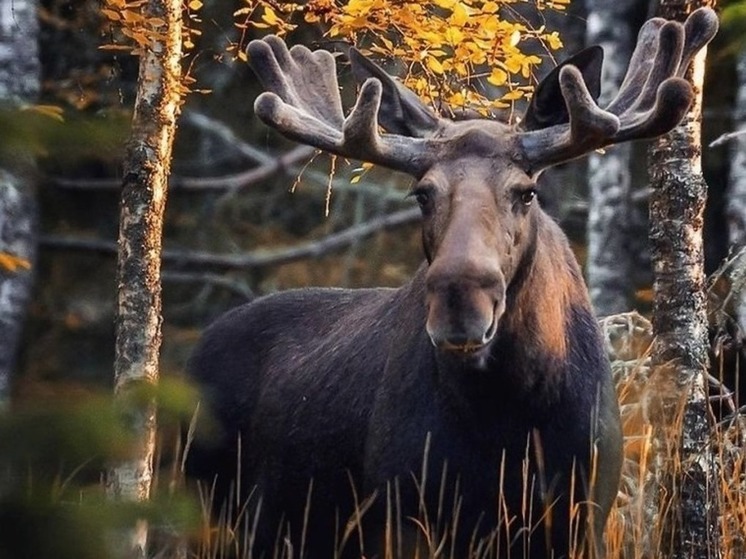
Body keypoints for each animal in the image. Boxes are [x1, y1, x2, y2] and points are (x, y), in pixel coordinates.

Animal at [185, 8, 716, 559]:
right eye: (422, 193)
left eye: (526, 192)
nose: (461, 304)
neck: (505, 411)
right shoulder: (403, 514)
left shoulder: (582, 513)